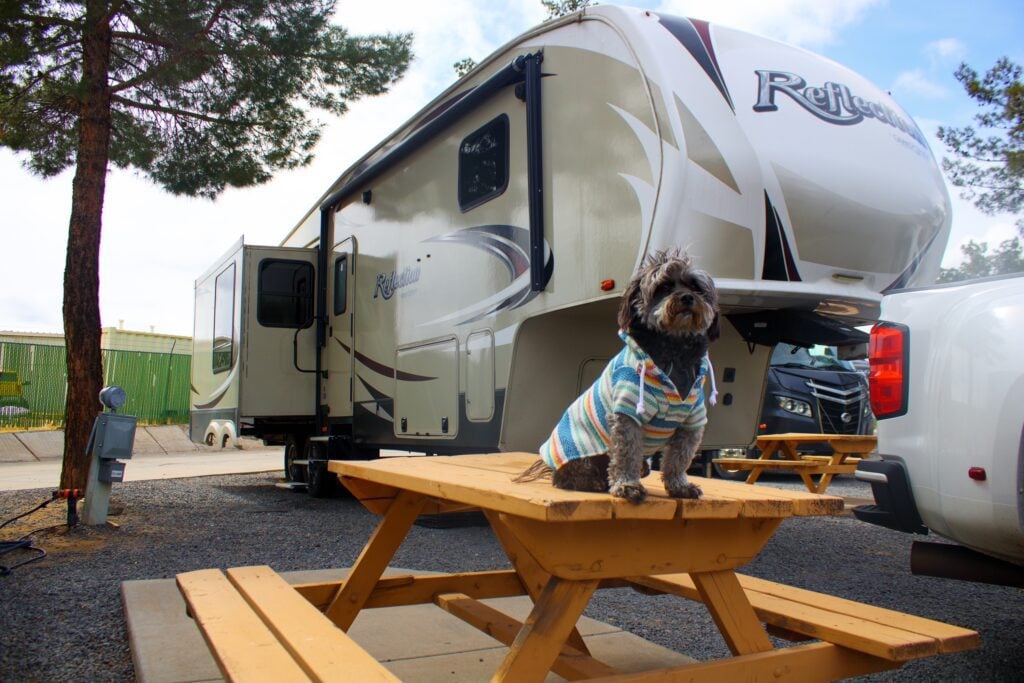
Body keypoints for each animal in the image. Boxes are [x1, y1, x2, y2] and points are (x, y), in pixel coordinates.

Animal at [520, 249, 720, 501]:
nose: (686, 297)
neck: (675, 351)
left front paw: (679, 486)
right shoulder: (628, 412)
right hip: (581, 453)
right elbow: (626, 454)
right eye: (664, 286)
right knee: (567, 476)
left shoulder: (692, 421)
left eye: (695, 286)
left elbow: (679, 459)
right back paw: (592, 482)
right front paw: (627, 486)